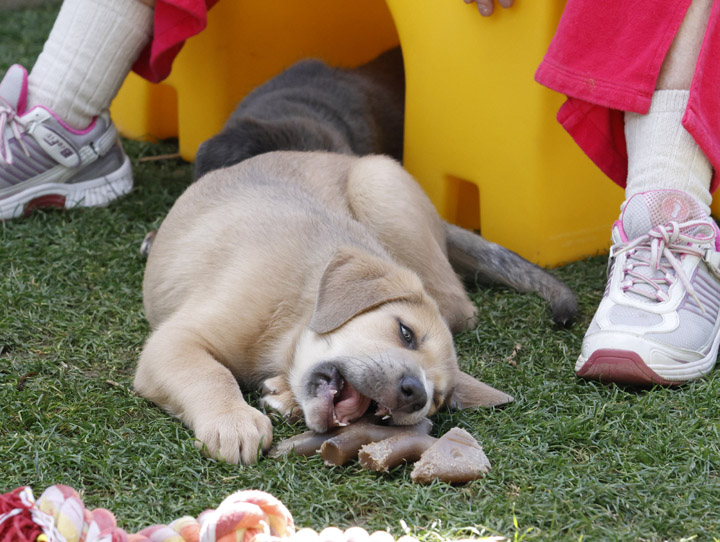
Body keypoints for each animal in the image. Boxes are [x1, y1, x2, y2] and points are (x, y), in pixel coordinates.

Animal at [138, 151, 516, 466]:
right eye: (406, 332)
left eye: (436, 399)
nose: (416, 395)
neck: (295, 315)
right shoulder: (175, 340)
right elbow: (210, 373)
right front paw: (233, 421)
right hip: (377, 182)